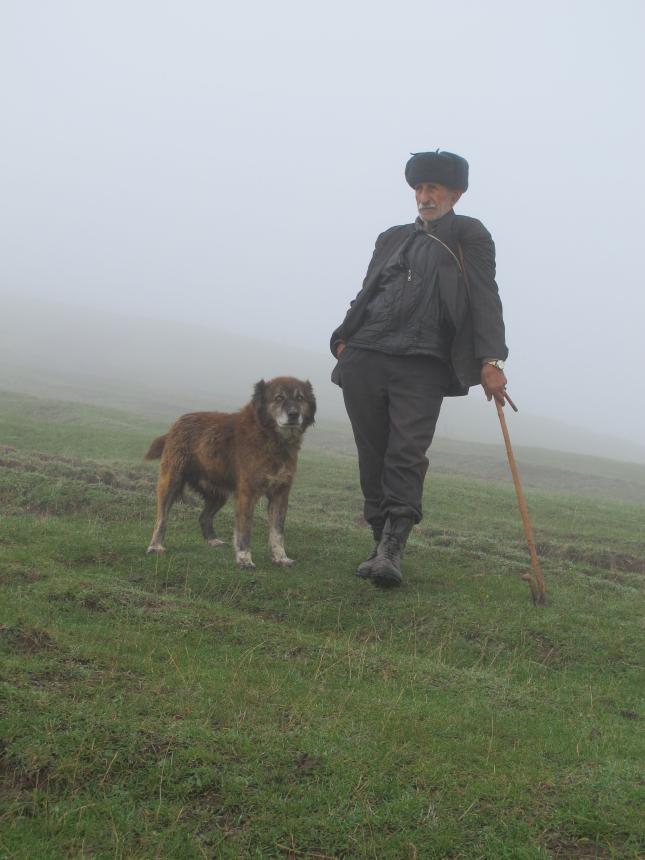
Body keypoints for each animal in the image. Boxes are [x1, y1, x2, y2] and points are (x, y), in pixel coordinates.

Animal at [143, 378, 314, 568]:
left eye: (300, 397)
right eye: (279, 398)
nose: (293, 414)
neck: (270, 437)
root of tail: (177, 423)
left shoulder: (280, 494)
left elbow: (277, 531)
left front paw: (281, 557)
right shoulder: (247, 493)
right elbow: (244, 530)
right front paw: (244, 559)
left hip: (218, 493)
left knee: (204, 517)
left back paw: (213, 540)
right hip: (171, 482)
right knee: (161, 517)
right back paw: (155, 546)